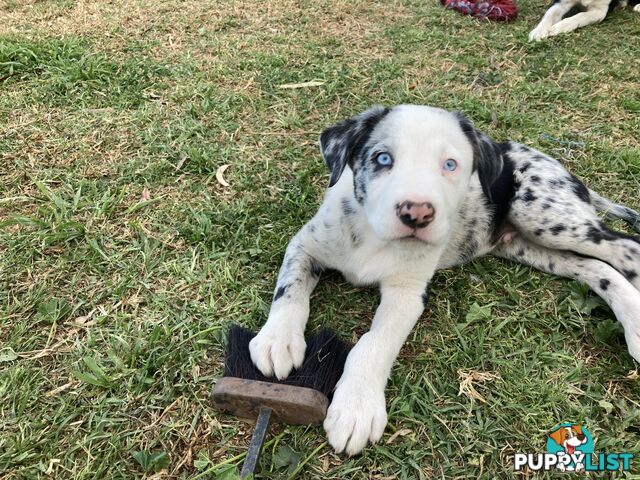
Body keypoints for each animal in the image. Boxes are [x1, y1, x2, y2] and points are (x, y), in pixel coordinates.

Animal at [248, 104, 640, 454]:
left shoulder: (407, 294)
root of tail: (560, 168)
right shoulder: (306, 245)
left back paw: (636, 325)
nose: (417, 213)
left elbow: (374, 343)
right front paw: (277, 340)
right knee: (596, 268)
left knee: (625, 247)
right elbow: (289, 292)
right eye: (382, 159)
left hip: (547, 214)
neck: (374, 238)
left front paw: (356, 406)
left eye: (450, 165)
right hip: (531, 246)